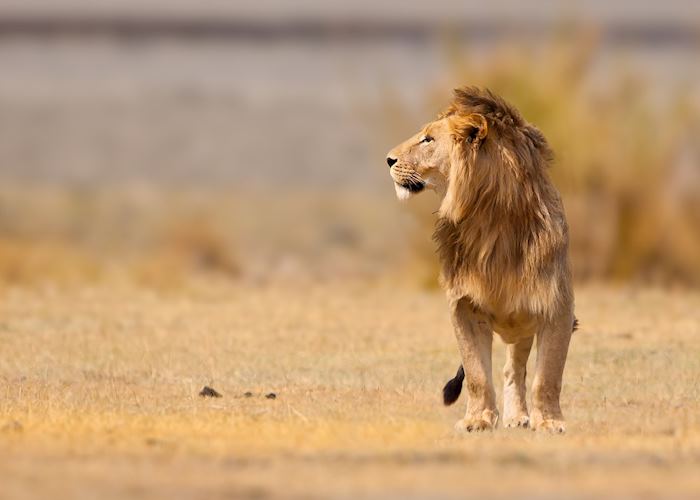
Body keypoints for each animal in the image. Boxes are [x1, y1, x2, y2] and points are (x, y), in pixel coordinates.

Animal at [386, 88, 576, 432]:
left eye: (428, 139)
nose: (388, 159)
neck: (488, 219)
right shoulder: (463, 305)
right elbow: (476, 374)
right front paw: (478, 420)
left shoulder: (555, 304)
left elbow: (548, 375)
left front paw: (549, 422)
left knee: (515, 368)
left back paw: (519, 417)